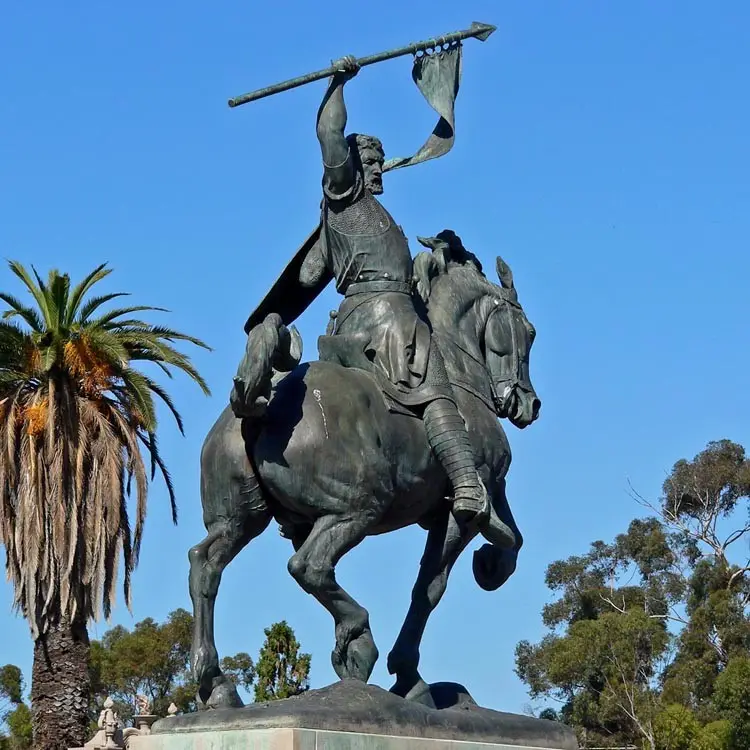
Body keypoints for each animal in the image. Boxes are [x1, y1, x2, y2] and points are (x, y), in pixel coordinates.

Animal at [188, 234, 540, 712]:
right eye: (529, 332)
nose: (527, 404)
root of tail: (265, 402)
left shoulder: (486, 491)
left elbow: (511, 537)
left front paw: (491, 563)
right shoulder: (464, 504)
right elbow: (432, 585)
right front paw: (408, 675)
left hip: (240, 518)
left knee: (206, 565)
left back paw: (216, 683)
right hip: (357, 508)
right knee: (309, 566)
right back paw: (359, 641)